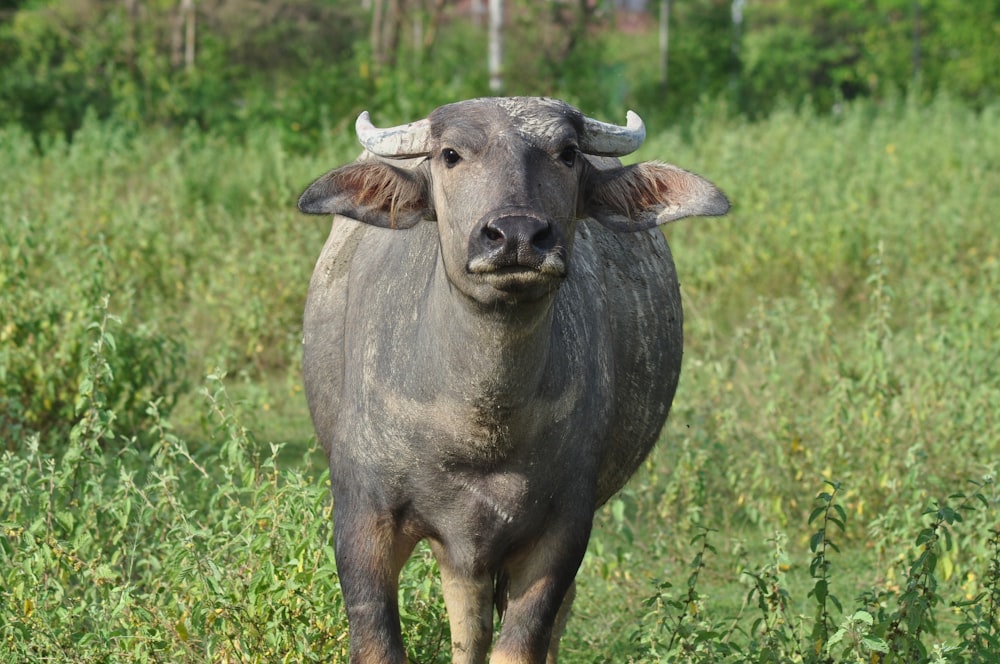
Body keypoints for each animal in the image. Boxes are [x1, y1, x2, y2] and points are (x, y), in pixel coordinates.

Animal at [296, 94, 728, 664]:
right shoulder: (361, 518)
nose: (518, 235)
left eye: (567, 153)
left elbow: (523, 643)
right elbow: (379, 644)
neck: (480, 424)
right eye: (450, 155)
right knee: (468, 623)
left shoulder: (564, 527)